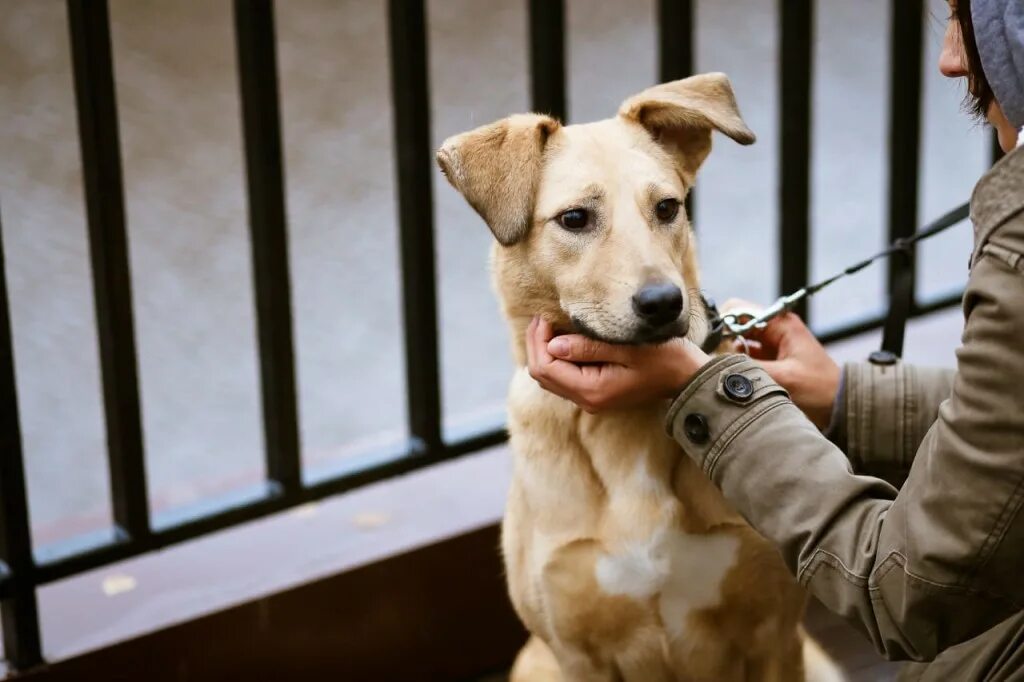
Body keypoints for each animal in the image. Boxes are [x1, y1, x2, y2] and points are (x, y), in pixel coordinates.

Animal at [436, 74, 843, 679]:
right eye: (575, 218)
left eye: (668, 207)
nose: (663, 303)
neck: (622, 429)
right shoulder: (578, 655)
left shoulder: (774, 635)